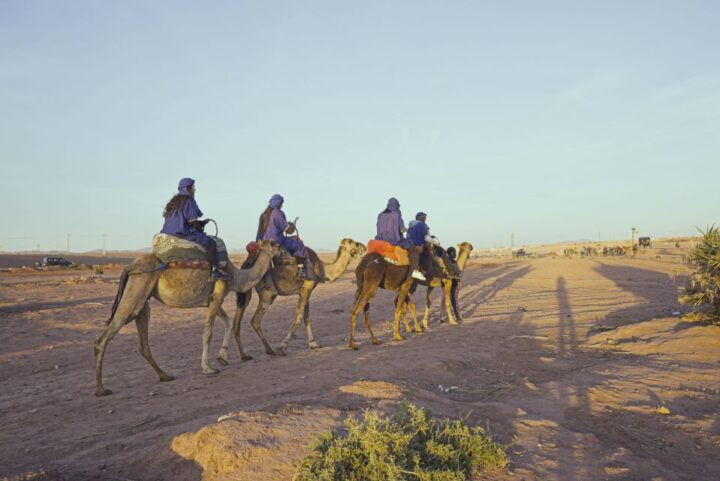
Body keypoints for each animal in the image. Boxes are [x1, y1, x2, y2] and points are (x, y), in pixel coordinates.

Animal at [93, 239, 278, 394]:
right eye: (274, 244)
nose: (281, 247)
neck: (235, 275)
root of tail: (129, 267)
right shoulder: (218, 294)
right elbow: (208, 333)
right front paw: (208, 368)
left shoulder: (210, 300)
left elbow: (228, 321)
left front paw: (222, 357)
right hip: (137, 288)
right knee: (104, 337)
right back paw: (101, 389)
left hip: (143, 299)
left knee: (142, 339)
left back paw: (165, 376)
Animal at [221, 238, 368, 358]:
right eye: (354, 243)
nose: (365, 247)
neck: (323, 270)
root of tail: (248, 262)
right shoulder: (306, 288)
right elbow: (298, 319)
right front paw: (282, 347)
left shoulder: (305, 291)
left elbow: (307, 317)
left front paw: (314, 344)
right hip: (268, 293)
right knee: (255, 320)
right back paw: (270, 350)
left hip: (246, 290)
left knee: (238, 321)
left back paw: (244, 355)